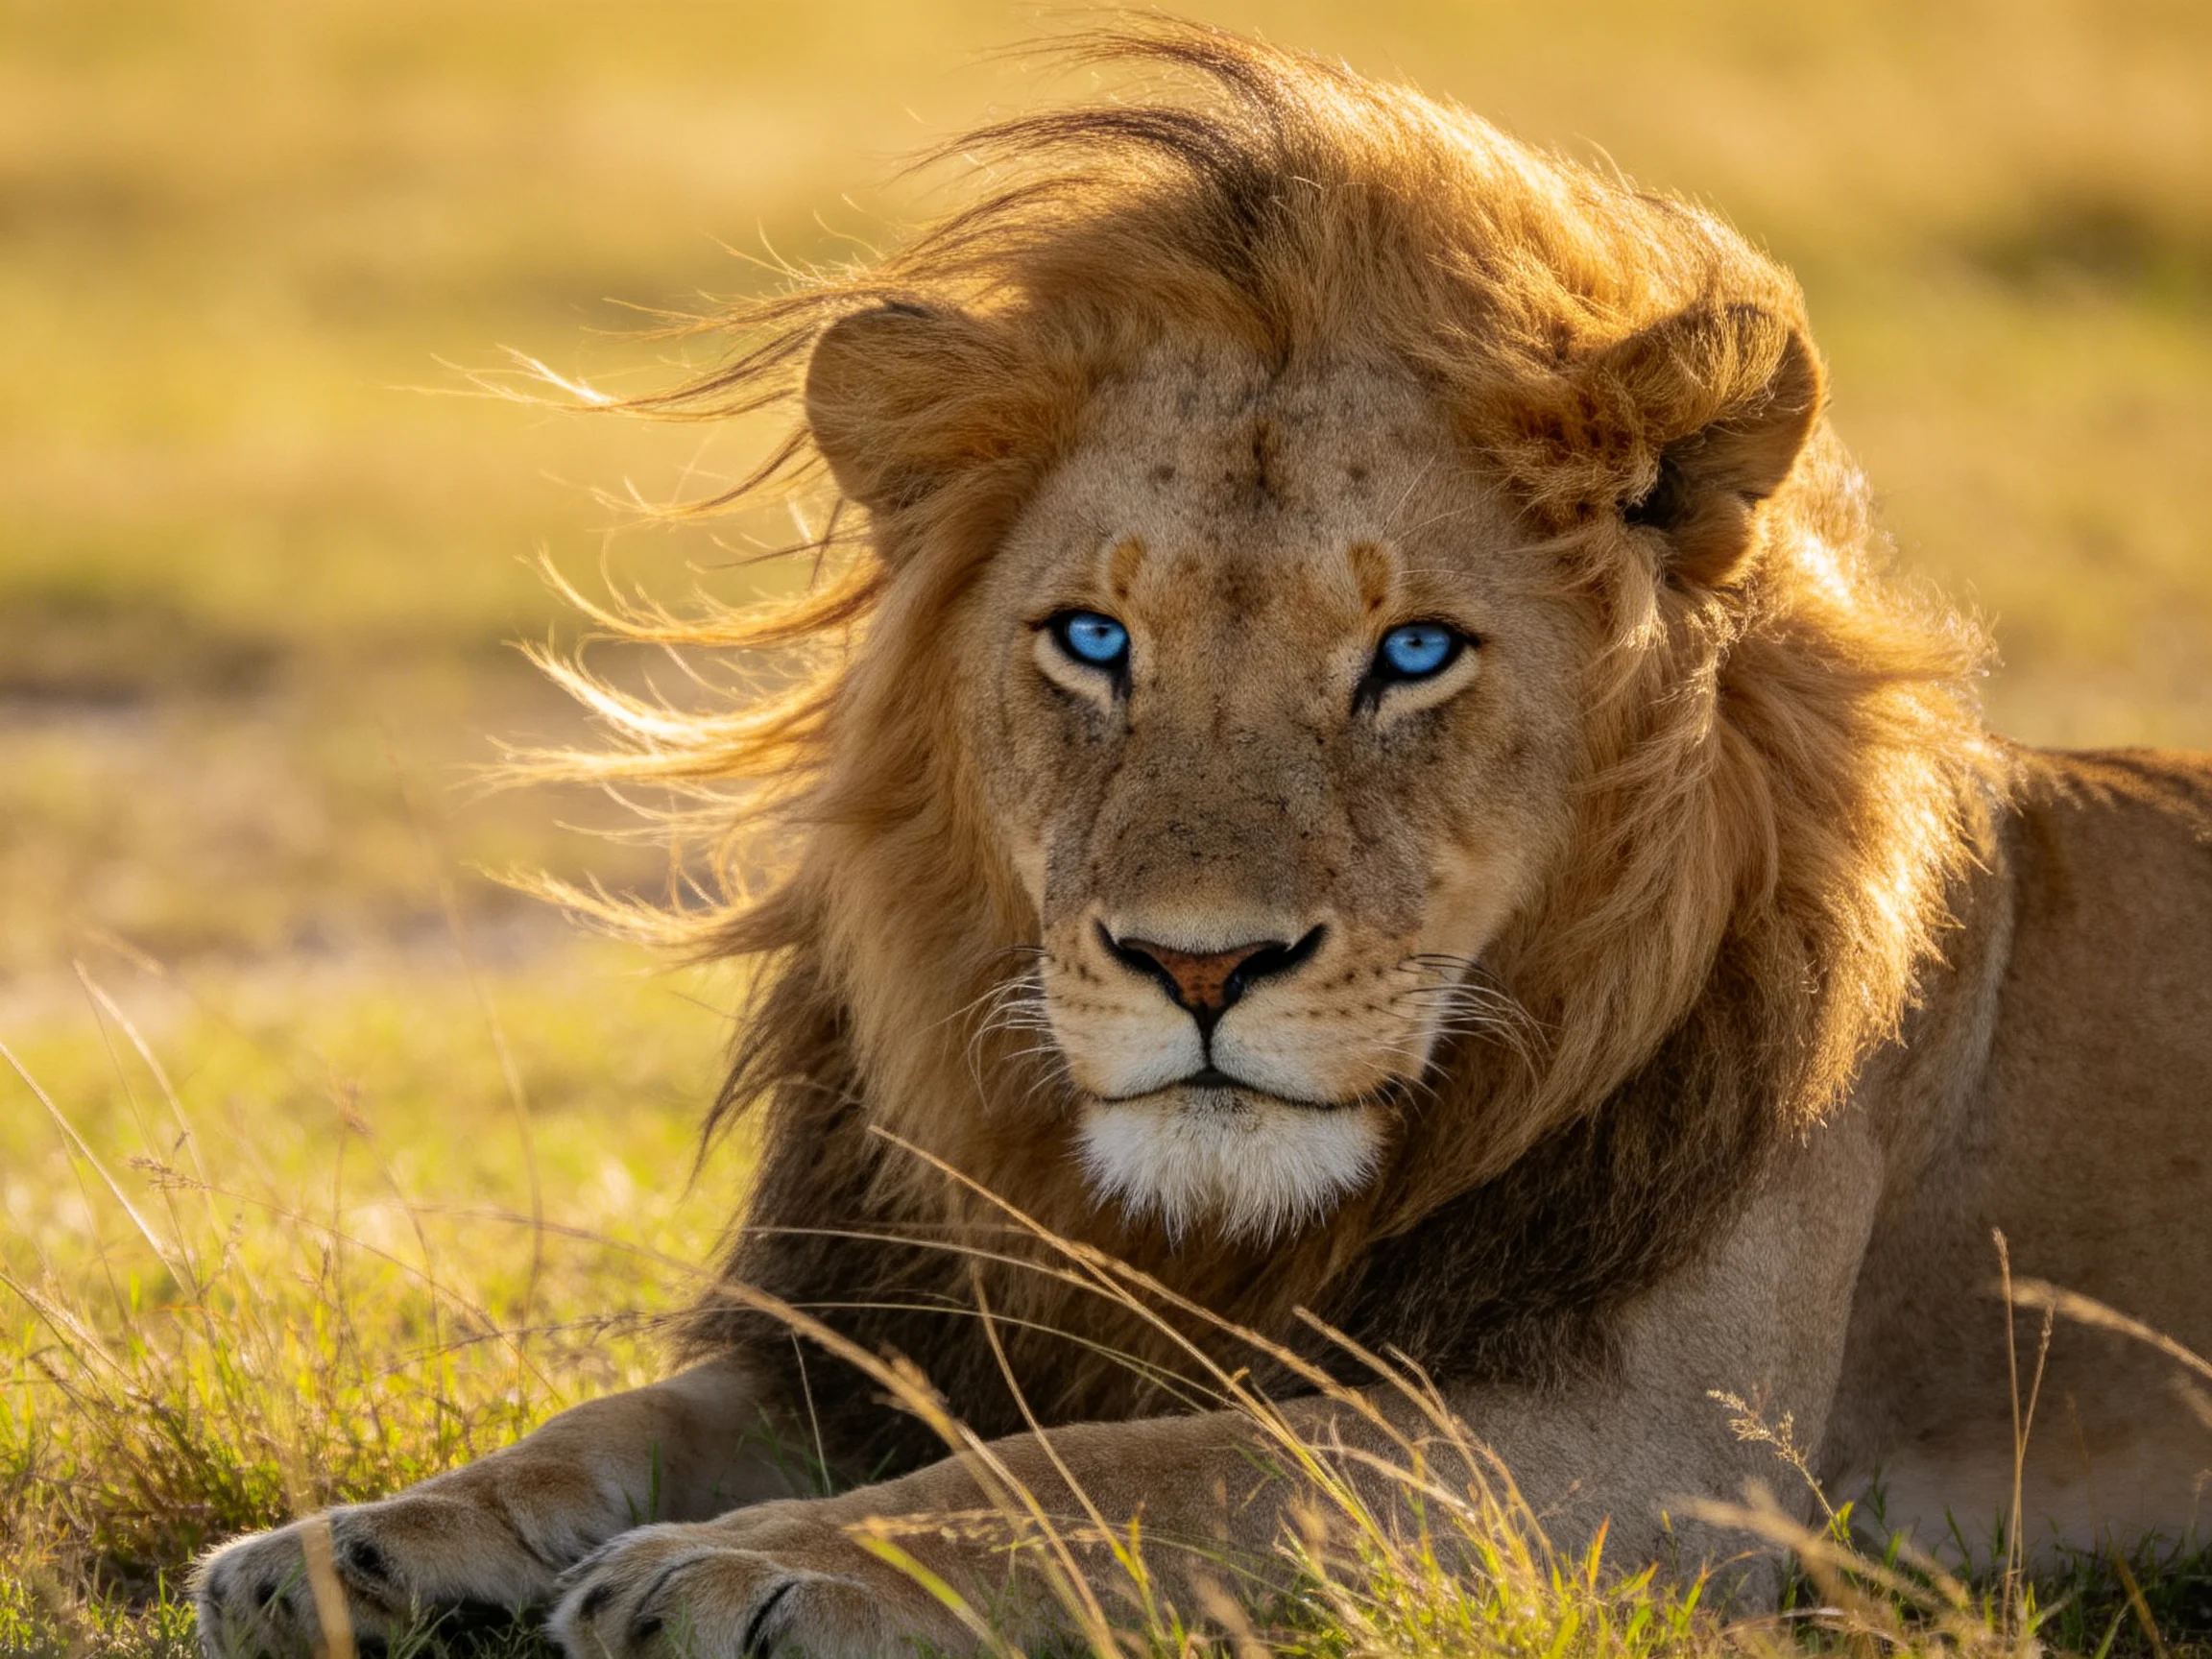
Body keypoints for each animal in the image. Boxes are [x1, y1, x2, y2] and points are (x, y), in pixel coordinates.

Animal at [195, 22, 2212, 1659]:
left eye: (1410, 653)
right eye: (1093, 640)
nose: (1196, 963)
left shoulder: (1632, 1451)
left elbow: (1140, 1466)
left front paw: (764, 1564)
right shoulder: (912, 1314)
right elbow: (621, 1417)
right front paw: (355, 1540)